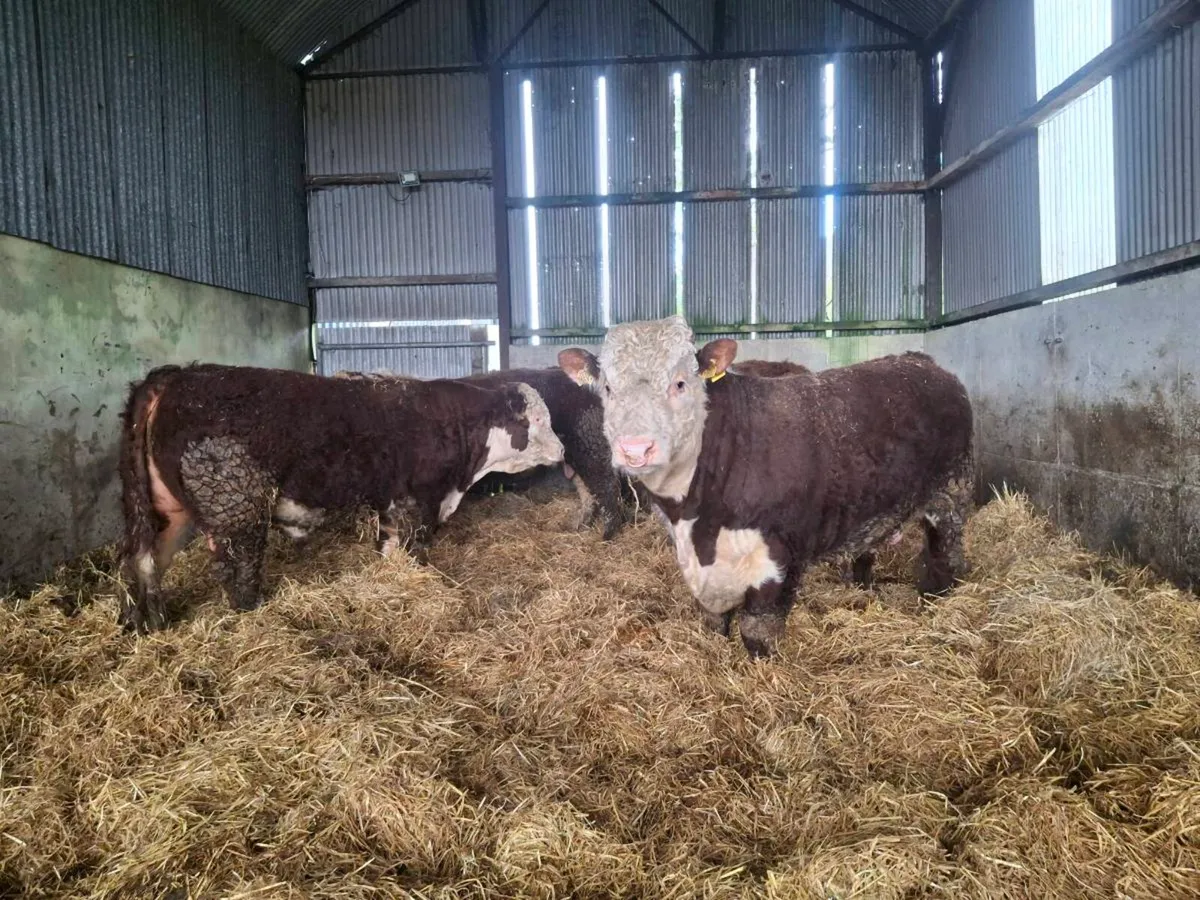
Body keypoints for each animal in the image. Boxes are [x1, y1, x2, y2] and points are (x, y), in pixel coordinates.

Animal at [118, 363, 563, 633]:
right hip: (237, 511)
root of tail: (175, 377)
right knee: (236, 569)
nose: (561, 450)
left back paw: (147, 623)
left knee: (143, 563)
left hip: (165, 513)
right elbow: (416, 551)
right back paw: (251, 612)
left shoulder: (392, 504)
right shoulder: (421, 502)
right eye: (539, 420)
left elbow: (389, 550)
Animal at [558, 316, 973, 658]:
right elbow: (712, 621)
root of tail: (921, 361)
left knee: (945, 554)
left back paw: (937, 599)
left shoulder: (779, 553)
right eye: (607, 388)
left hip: (952, 492)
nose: (635, 449)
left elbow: (757, 628)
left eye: (680, 383)